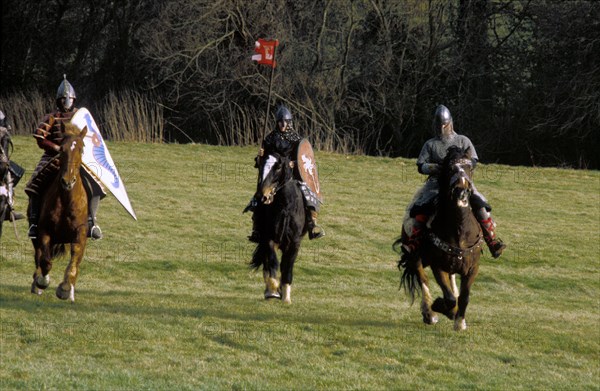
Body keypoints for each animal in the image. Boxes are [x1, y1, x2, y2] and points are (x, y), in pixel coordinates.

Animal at [30, 122, 89, 304]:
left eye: (81, 149)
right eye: (61, 149)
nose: (68, 181)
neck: (66, 200)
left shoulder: (80, 233)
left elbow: (74, 262)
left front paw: (65, 289)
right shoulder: (44, 231)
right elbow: (45, 261)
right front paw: (42, 281)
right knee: (39, 256)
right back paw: (36, 284)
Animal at [250, 152, 308, 304]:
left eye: (277, 168)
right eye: (260, 165)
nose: (261, 196)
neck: (285, 207)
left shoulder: (294, 243)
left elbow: (287, 268)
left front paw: (286, 298)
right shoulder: (269, 240)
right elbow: (272, 263)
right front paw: (273, 288)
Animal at [396, 146, 486, 330]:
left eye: (469, 167)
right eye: (451, 168)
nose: (461, 190)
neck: (460, 231)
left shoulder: (473, 268)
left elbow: (464, 296)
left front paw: (460, 321)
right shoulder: (438, 266)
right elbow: (449, 298)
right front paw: (441, 308)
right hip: (415, 257)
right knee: (422, 279)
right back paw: (429, 314)